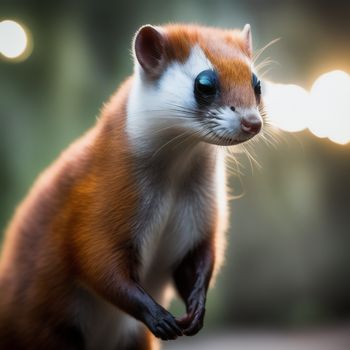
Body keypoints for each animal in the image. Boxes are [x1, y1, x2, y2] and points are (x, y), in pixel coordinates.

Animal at [0, 23, 262, 348]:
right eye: (204, 83)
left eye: (257, 83)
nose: (252, 122)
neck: (174, 182)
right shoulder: (101, 206)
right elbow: (99, 266)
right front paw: (160, 318)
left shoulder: (199, 224)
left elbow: (202, 262)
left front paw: (196, 311)